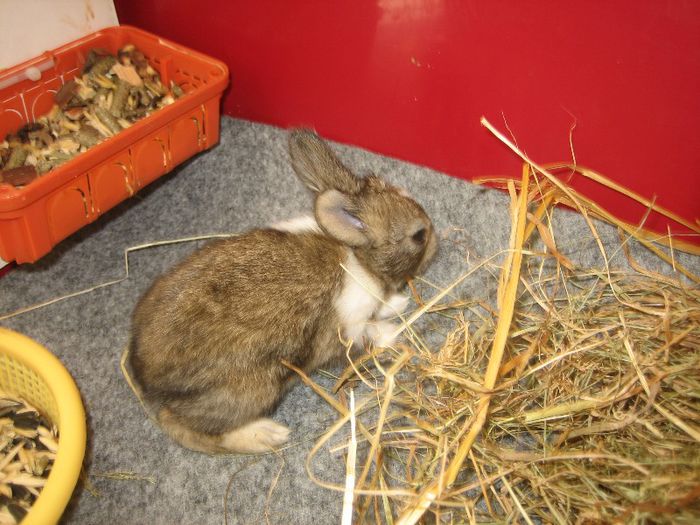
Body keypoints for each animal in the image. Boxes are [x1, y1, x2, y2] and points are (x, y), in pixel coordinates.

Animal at [129, 129, 438, 452]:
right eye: (418, 236)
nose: (436, 243)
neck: (356, 254)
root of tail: (143, 377)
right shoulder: (345, 330)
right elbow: (369, 335)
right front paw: (395, 334)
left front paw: (399, 303)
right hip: (250, 391)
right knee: (192, 429)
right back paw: (268, 435)